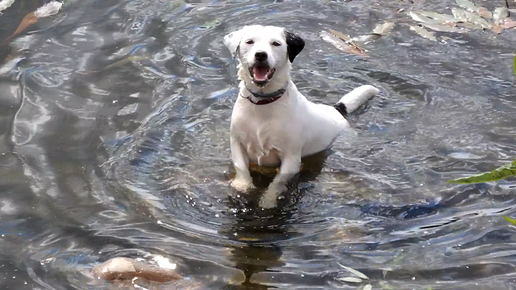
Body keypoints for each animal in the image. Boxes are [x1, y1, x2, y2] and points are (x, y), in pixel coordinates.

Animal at [223, 24, 378, 206]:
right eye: (249, 42)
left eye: (276, 43)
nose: (260, 54)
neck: (263, 103)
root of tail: (336, 109)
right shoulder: (237, 144)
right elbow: (241, 168)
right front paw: (242, 186)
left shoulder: (291, 159)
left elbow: (277, 182)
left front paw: (268, 201)